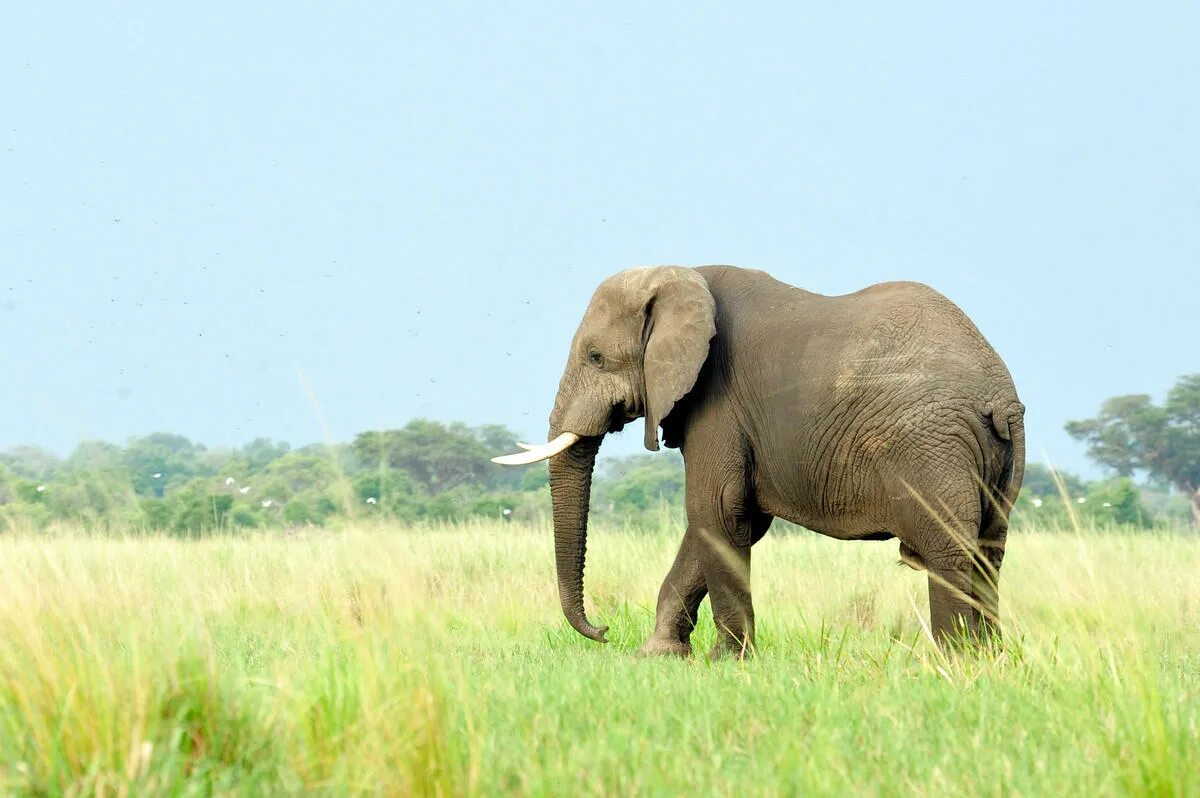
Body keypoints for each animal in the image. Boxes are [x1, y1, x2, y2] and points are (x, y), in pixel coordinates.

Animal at [492, 264, 1027, 657]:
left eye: (596, 357)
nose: (602, 632)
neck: (685, 277)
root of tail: (1000, 397)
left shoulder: (718, 400)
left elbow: (716, 511)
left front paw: (728, 661)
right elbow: (722, 523)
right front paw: (658, 656)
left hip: (931, 447)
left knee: (948, 552)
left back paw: (955, 662)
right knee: (989, 553)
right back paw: (992, 661)